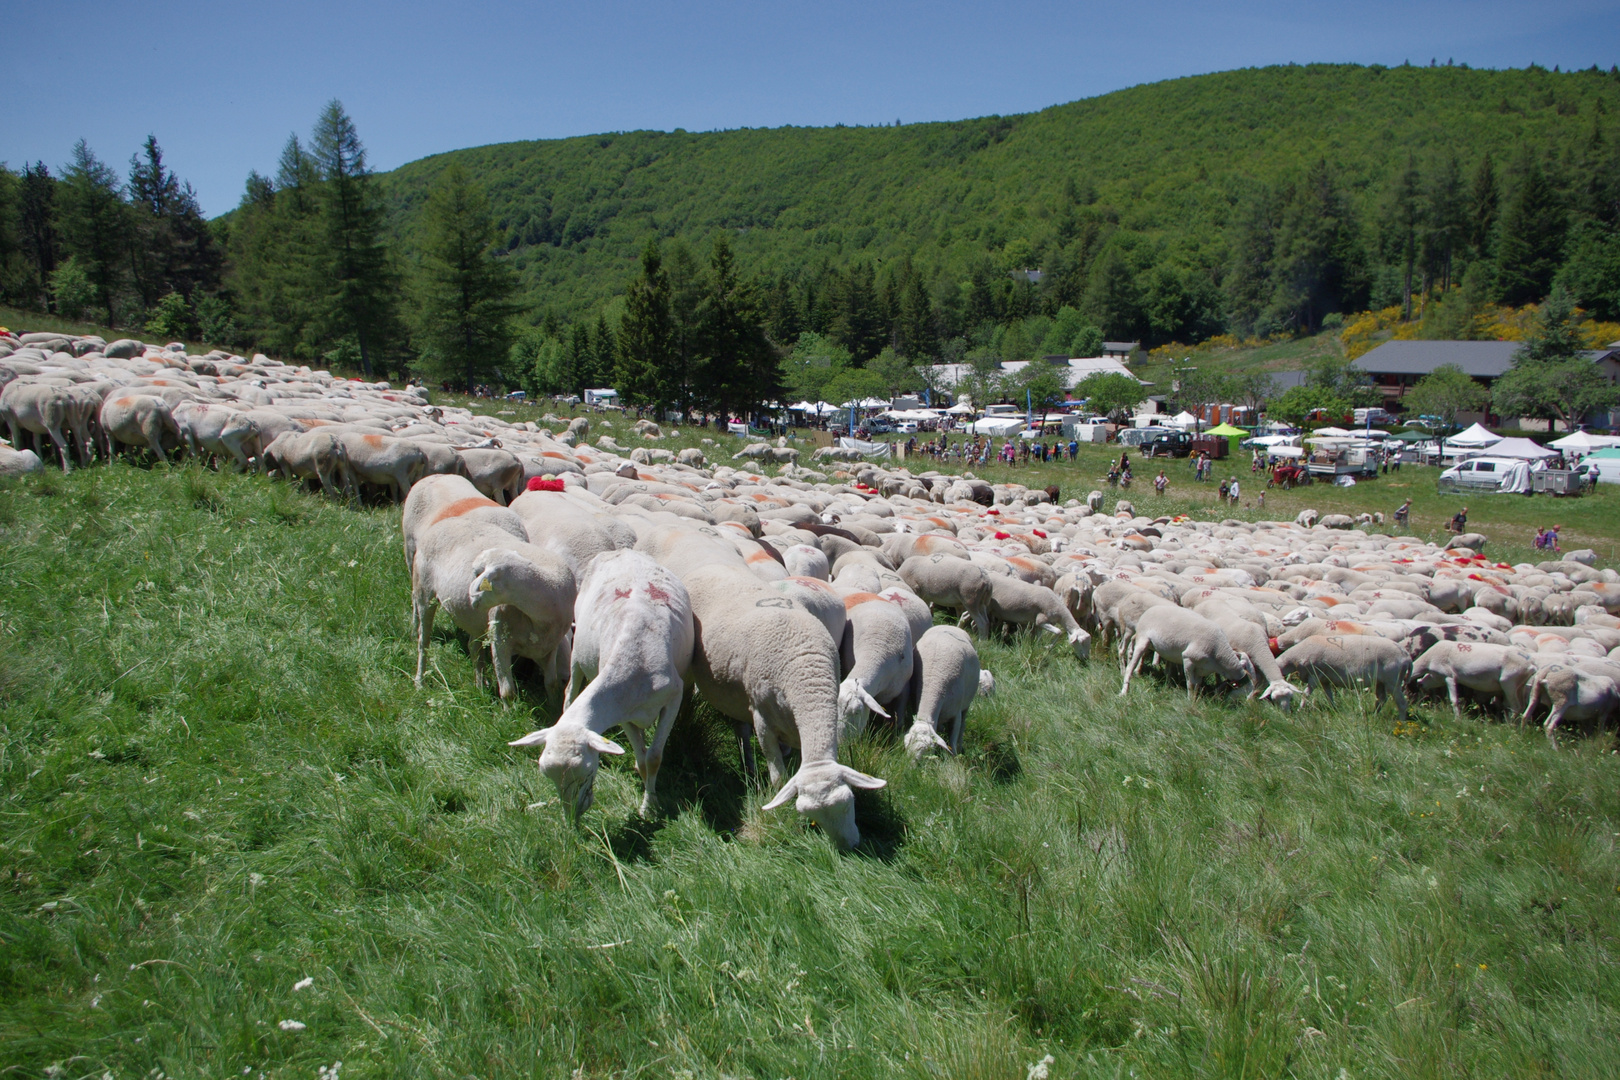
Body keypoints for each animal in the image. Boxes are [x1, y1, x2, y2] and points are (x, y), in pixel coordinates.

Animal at [508, 553, 693, 816]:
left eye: (587, 769)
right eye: (547, 775)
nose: (572, 816)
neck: (635, 664)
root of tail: (622, 552)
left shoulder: (673, 699)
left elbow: (653, 758)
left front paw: (649, 807)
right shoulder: (623, 714)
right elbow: (642, 760)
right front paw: (647, 800)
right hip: (577, 650)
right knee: (570, 690)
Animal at [683, 563, 887, 848]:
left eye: (850, 801)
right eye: (809, 815)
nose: (848, 848)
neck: (806, 675)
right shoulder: (763, 721)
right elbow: (778, 776)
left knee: (740, 729)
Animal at [907, 625, 978, 761]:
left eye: (927, 750)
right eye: (906, 746)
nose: (910, 765)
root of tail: (950, 626)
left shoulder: (956, 713)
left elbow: (953, 739)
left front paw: (954, 757)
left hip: (966, 705)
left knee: (962, 726)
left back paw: (960, 746)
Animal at [1121, 608, 1257, 702]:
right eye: (1246, 689)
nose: (1247, 703)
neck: (1219, 654)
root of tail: (1149, 610)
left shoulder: (1201, 669)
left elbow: (1197, 685)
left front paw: (1196, 701)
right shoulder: (1188, 659)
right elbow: (1190, 684)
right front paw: (1190, 701)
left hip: (1153, 644)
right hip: (1143, 638)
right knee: (1130, 667)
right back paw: (1124, 691)